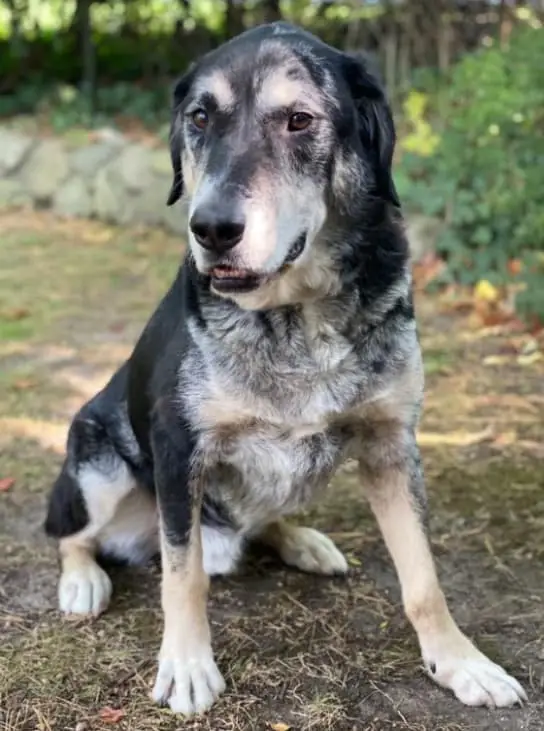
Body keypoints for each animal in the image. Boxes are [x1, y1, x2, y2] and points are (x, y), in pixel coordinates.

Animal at [45, 22, 528, 720]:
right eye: (199, 118)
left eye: (299, 120)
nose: (211, 228)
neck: (296, 317)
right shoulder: (178, 452)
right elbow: (183, 577)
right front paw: (186, 665)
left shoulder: (391, 447)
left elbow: (424, 580)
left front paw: (461, 663)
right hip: (98, 466)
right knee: (70, 533)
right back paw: (83, 580)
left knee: (264, 516)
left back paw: (303, 541)